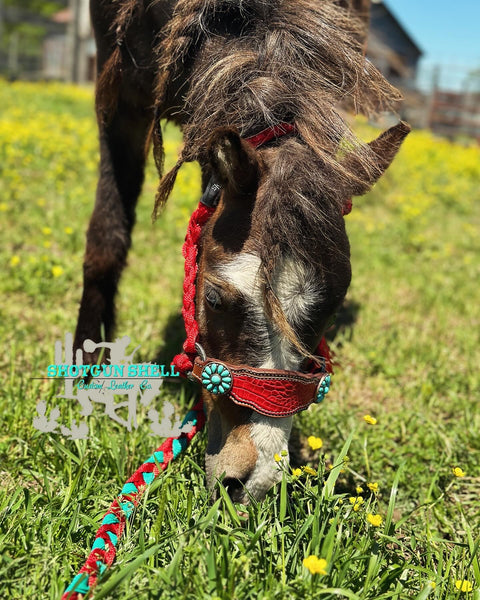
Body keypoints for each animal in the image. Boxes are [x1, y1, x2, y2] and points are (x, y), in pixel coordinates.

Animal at [77, 1, 410, 502]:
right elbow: (106, 242)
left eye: (333, 310)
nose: (253, 483)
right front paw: (83, 374)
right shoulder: (119, 99)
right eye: (215, 299)